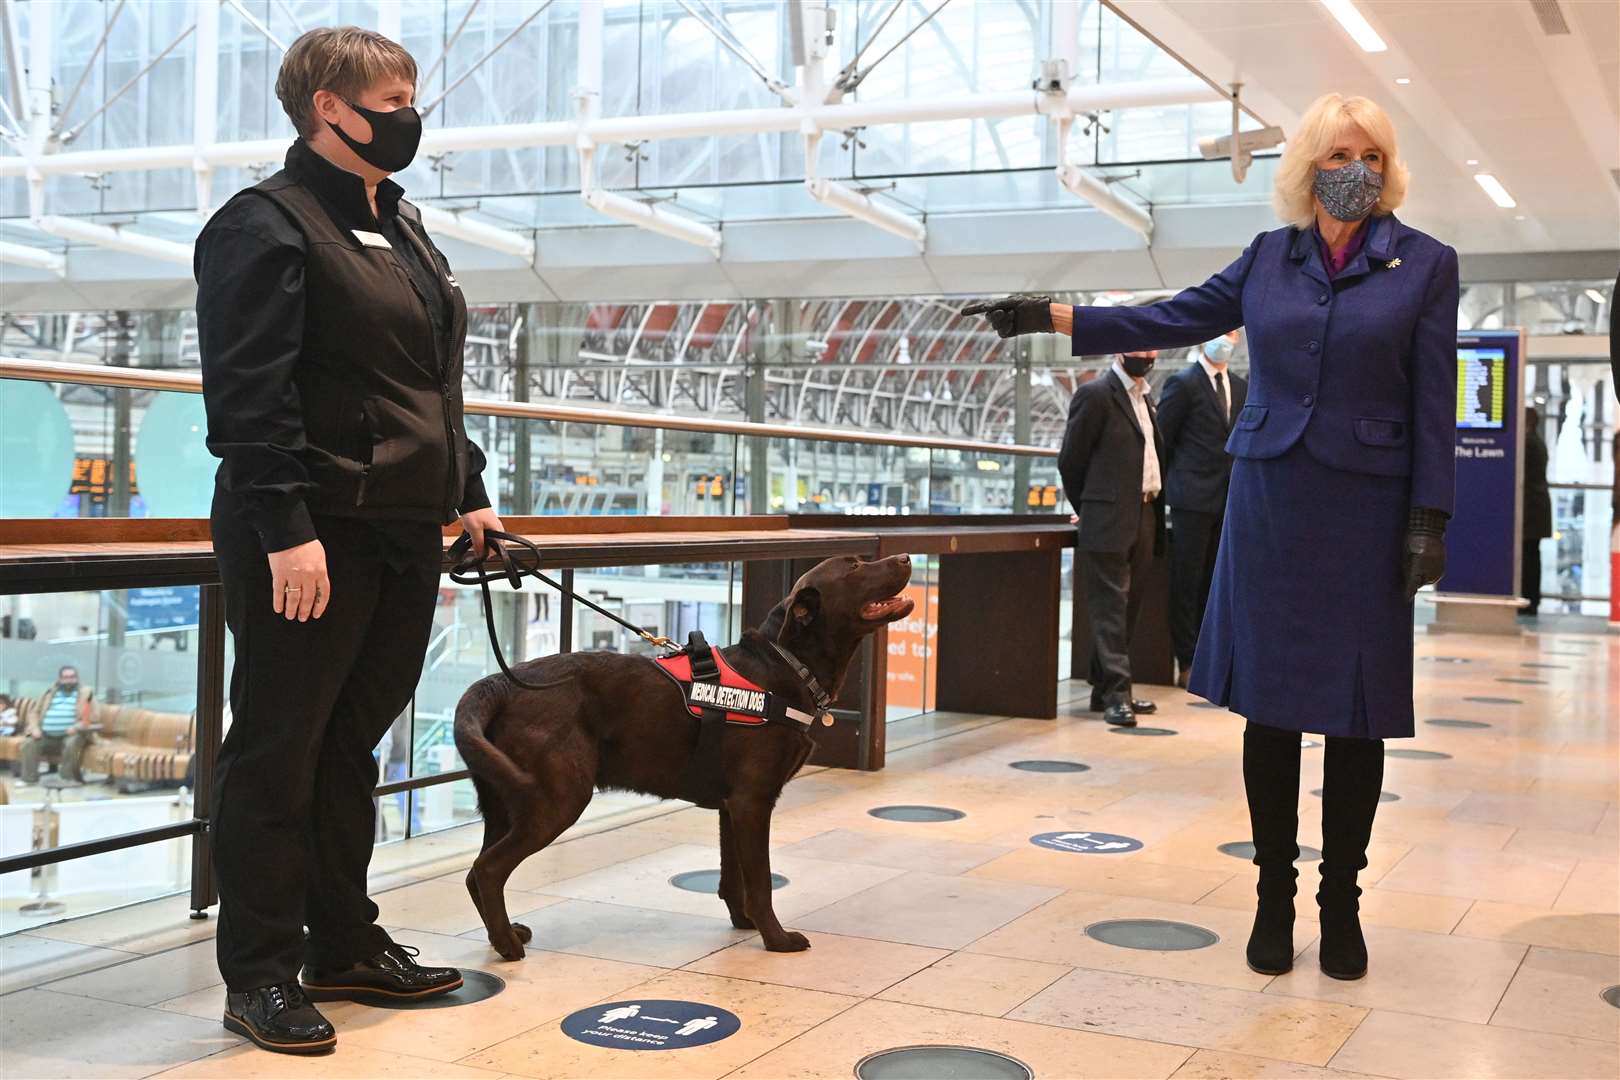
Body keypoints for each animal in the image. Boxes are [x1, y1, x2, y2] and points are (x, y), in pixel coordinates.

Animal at [453, 553, 913, 958]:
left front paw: (745, 923)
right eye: (854, 567)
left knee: (476, 871)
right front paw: (776, 939)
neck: (786, 666)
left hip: (504, 804)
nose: (906, 557)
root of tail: (498, 683)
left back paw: (503, 934)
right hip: (555, 801)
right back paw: (507, 947)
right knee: (489, 869)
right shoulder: (752, 801)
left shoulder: (733, 806)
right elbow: (761, 881)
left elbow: (733, 878)